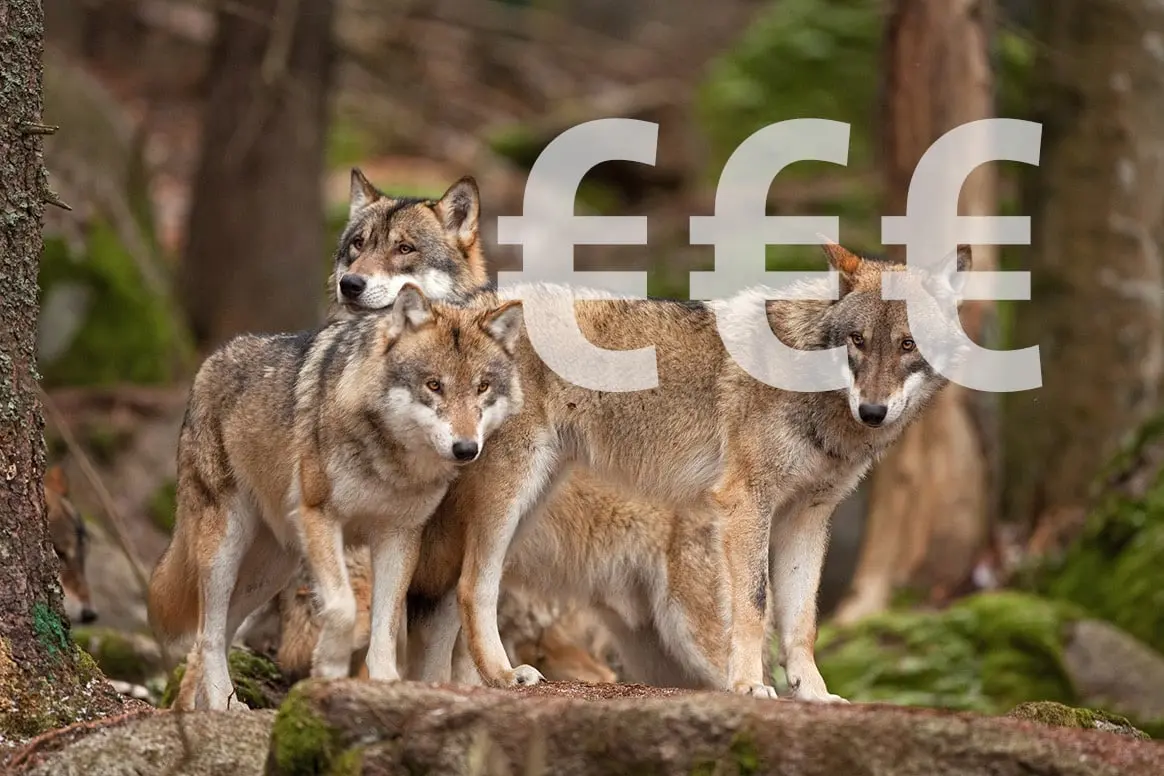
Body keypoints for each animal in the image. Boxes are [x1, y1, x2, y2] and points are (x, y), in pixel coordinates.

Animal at [145, 285, 525, 710]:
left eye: (482, 387)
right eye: (434, 385)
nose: (466, 449)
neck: (390, 461)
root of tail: (209, 362)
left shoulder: (399, 537)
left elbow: (385, 627)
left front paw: (386, 684)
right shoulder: (321, 517)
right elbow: (343, 608)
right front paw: (327, 667)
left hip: (270, 572)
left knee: (216, 632)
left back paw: (206, 706)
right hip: (225, 551)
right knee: (208, 633)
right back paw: (222, 704)